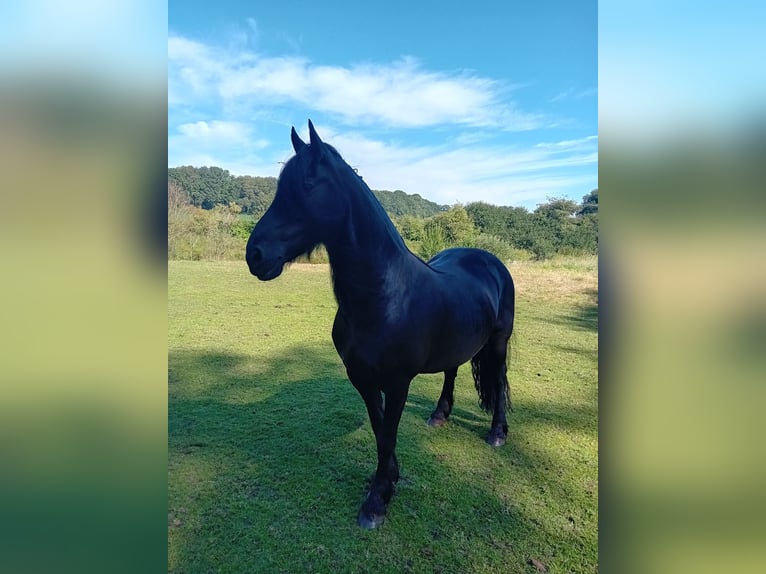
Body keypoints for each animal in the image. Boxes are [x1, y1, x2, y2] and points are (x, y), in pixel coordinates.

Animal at [249, 121, 516, 532]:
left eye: (307, 184)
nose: (255, 254)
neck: (383, 297)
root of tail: (489, 259)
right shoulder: (362, 378)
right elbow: (379, 432)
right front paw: (388, 480)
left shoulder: (397, 382)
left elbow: (388, 434)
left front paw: (377, 501)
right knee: (452, 372)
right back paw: (439, 415)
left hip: (499, 342)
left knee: (499, 379)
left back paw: (497, 433)